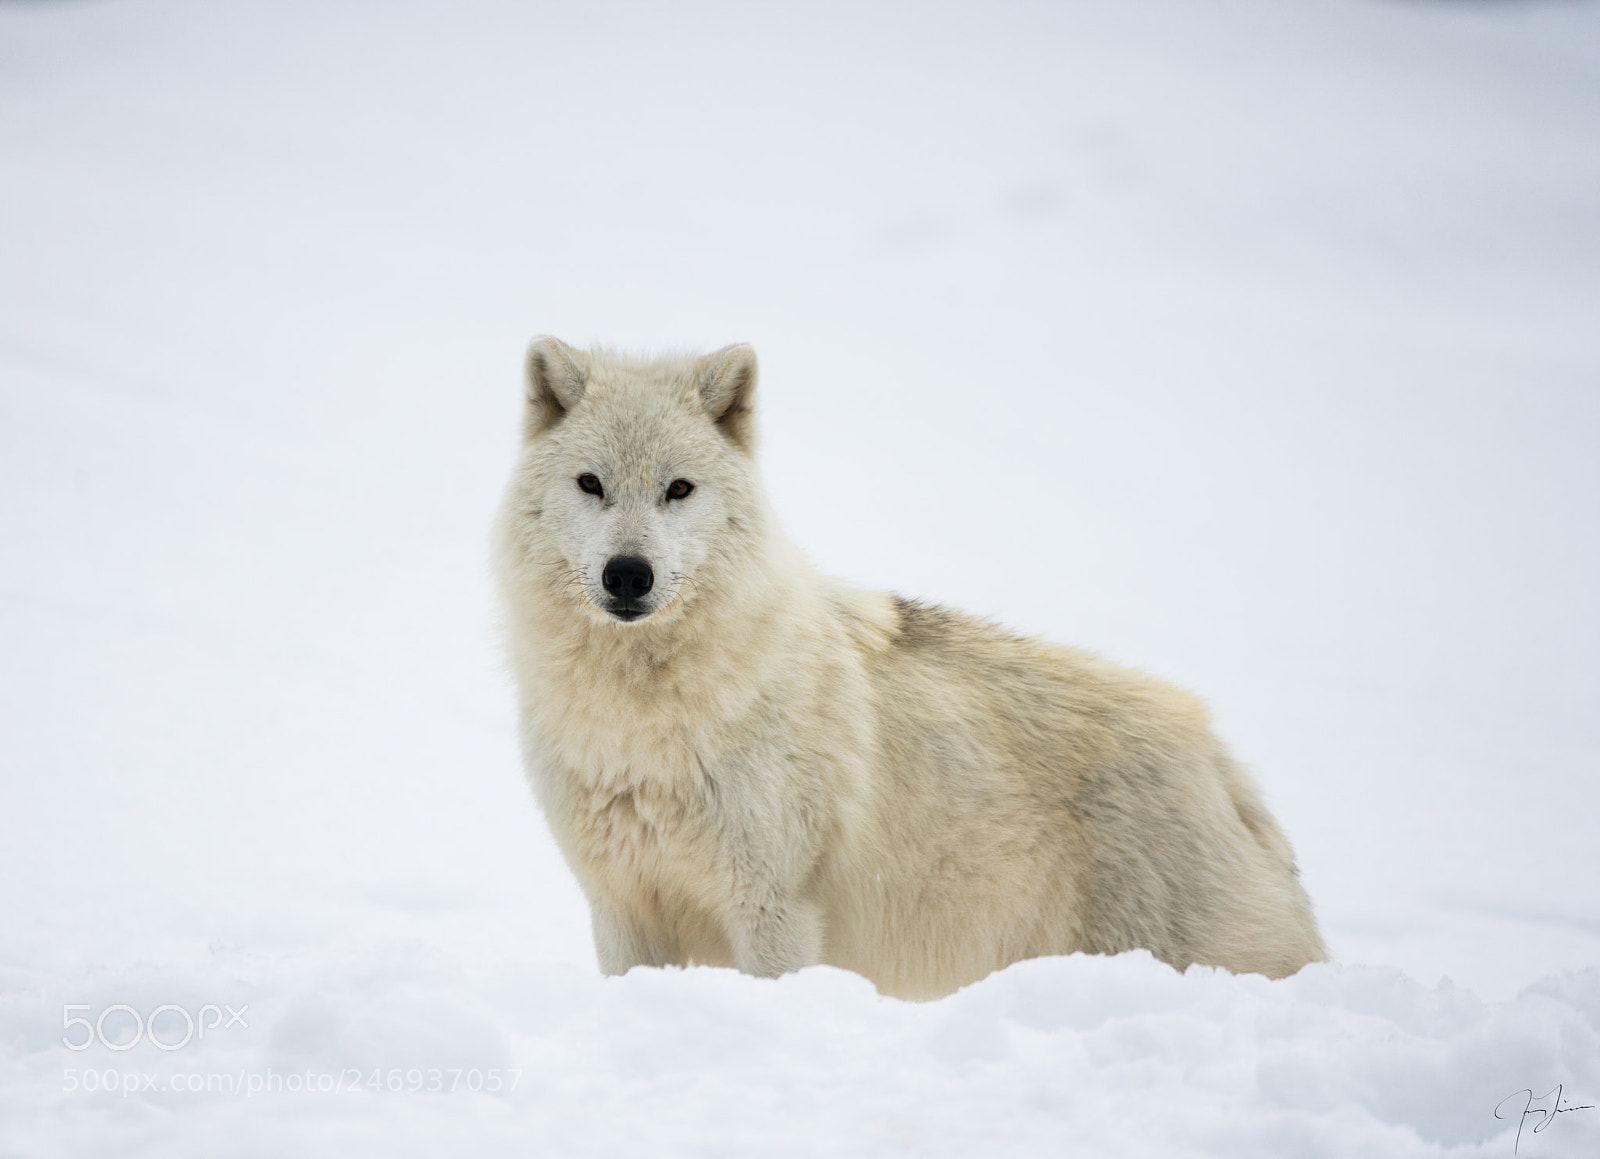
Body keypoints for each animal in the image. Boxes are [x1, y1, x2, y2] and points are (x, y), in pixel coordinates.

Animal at [493, 338, 1326, 1000]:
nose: (628, 575)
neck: (643, 729)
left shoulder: (775, 909)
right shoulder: (624, 911)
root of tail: (1222, 761)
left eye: (677, 489)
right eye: (591, 483)